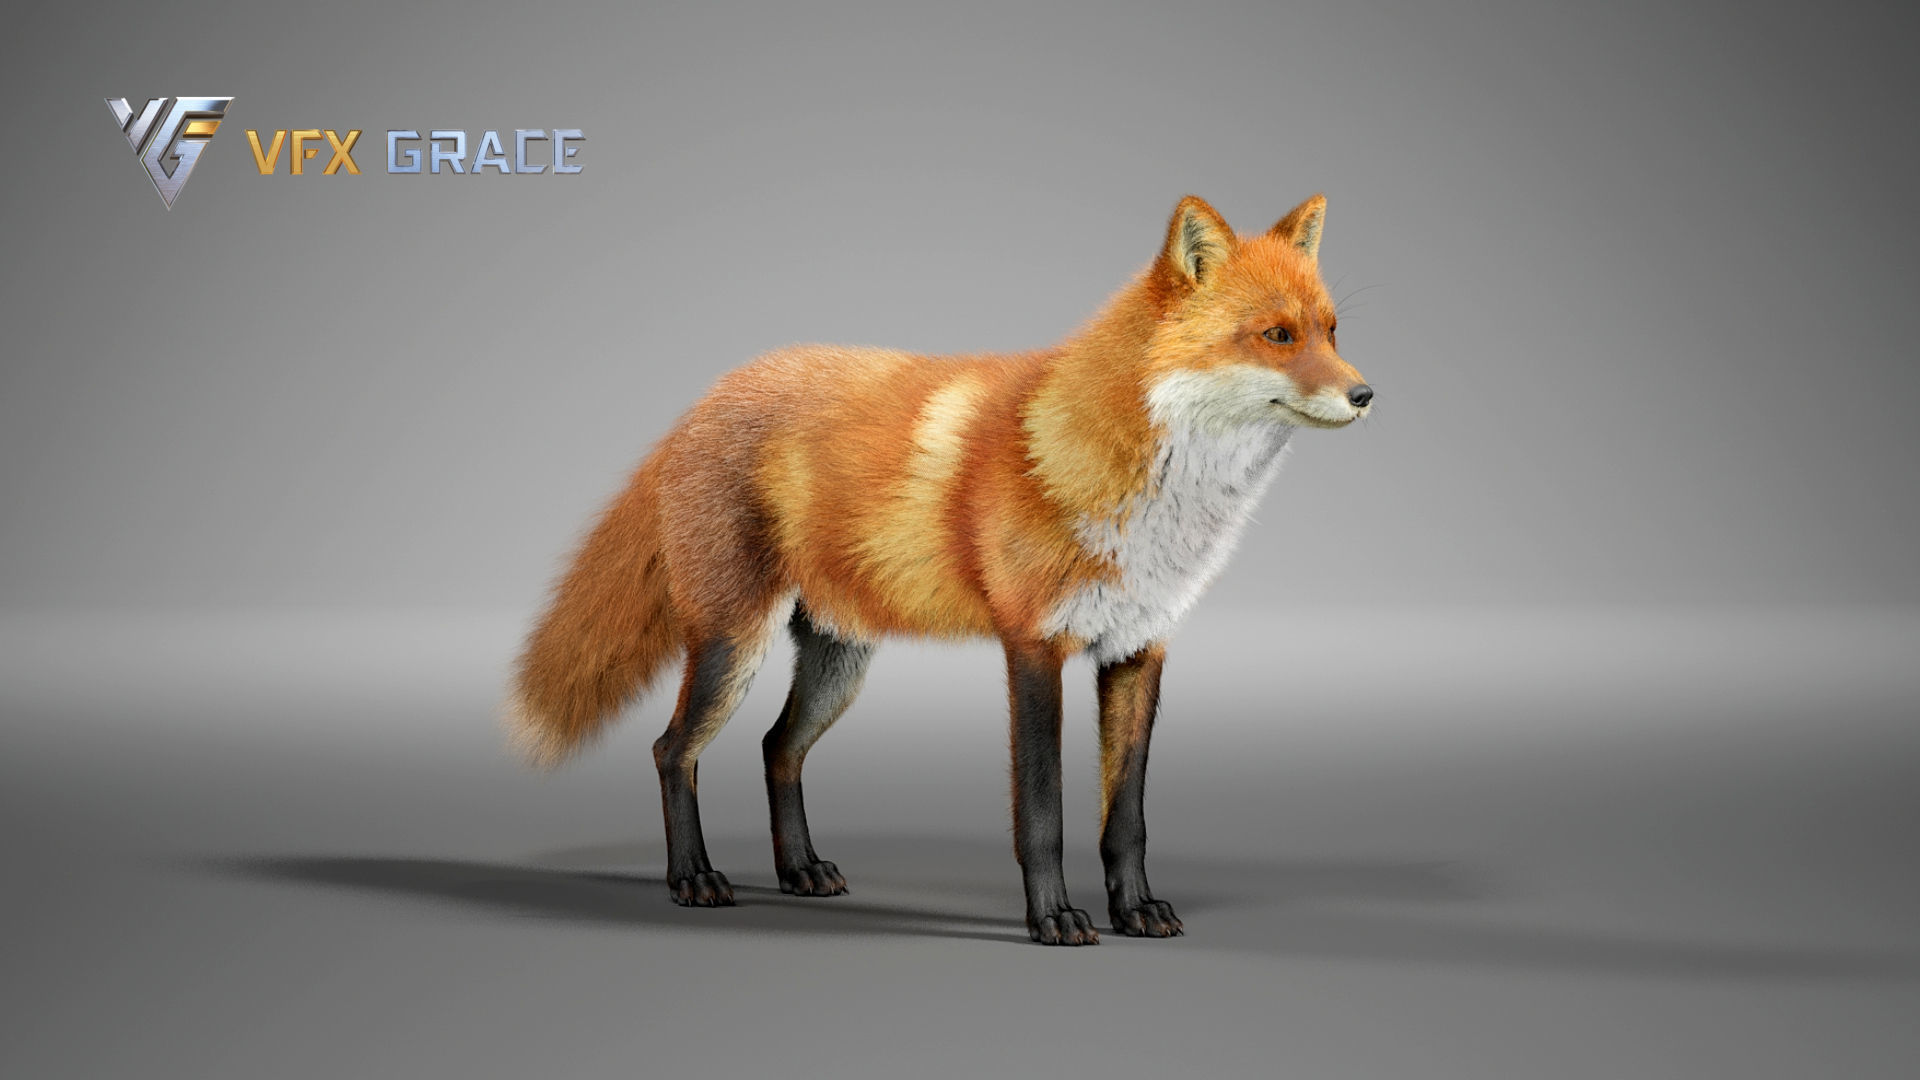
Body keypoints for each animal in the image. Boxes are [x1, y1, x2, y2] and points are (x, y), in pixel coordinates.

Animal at [507, 193, 1372, 945]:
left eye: (1331, 331)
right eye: (1277, 336)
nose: (1366, 394)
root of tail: (708, 398)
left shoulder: (1138, 650)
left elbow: (1125, 818)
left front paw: (1136, 911)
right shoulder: (1034, 647)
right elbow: (1045, 813)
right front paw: (1054, 920)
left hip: (838, 662)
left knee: (776, 748)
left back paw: (798, 871)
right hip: (733, 646)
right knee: (671, 750)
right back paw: (693, 877)